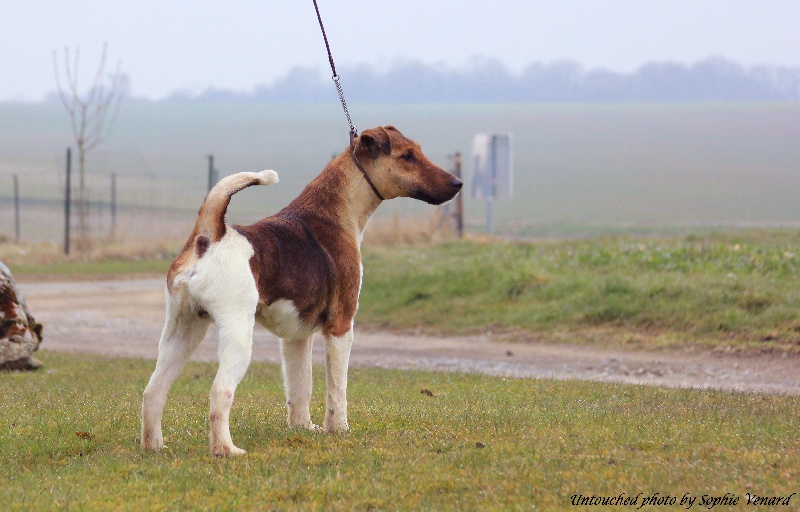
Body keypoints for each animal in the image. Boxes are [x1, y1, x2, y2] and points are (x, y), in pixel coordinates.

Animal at [142, 126, 462, 454]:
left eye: (418, 151)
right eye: (407, 156)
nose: (457, 183)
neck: (336, 212)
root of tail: (209, 237)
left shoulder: (297, 336)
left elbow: (300, 387)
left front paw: (304, 428)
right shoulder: (341, 325)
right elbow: (337, 389)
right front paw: (339, 429)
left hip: (182, 332)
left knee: (153, 391)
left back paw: (154, 447)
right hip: (237, 333)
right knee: (220, 392)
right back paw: (227, 450)